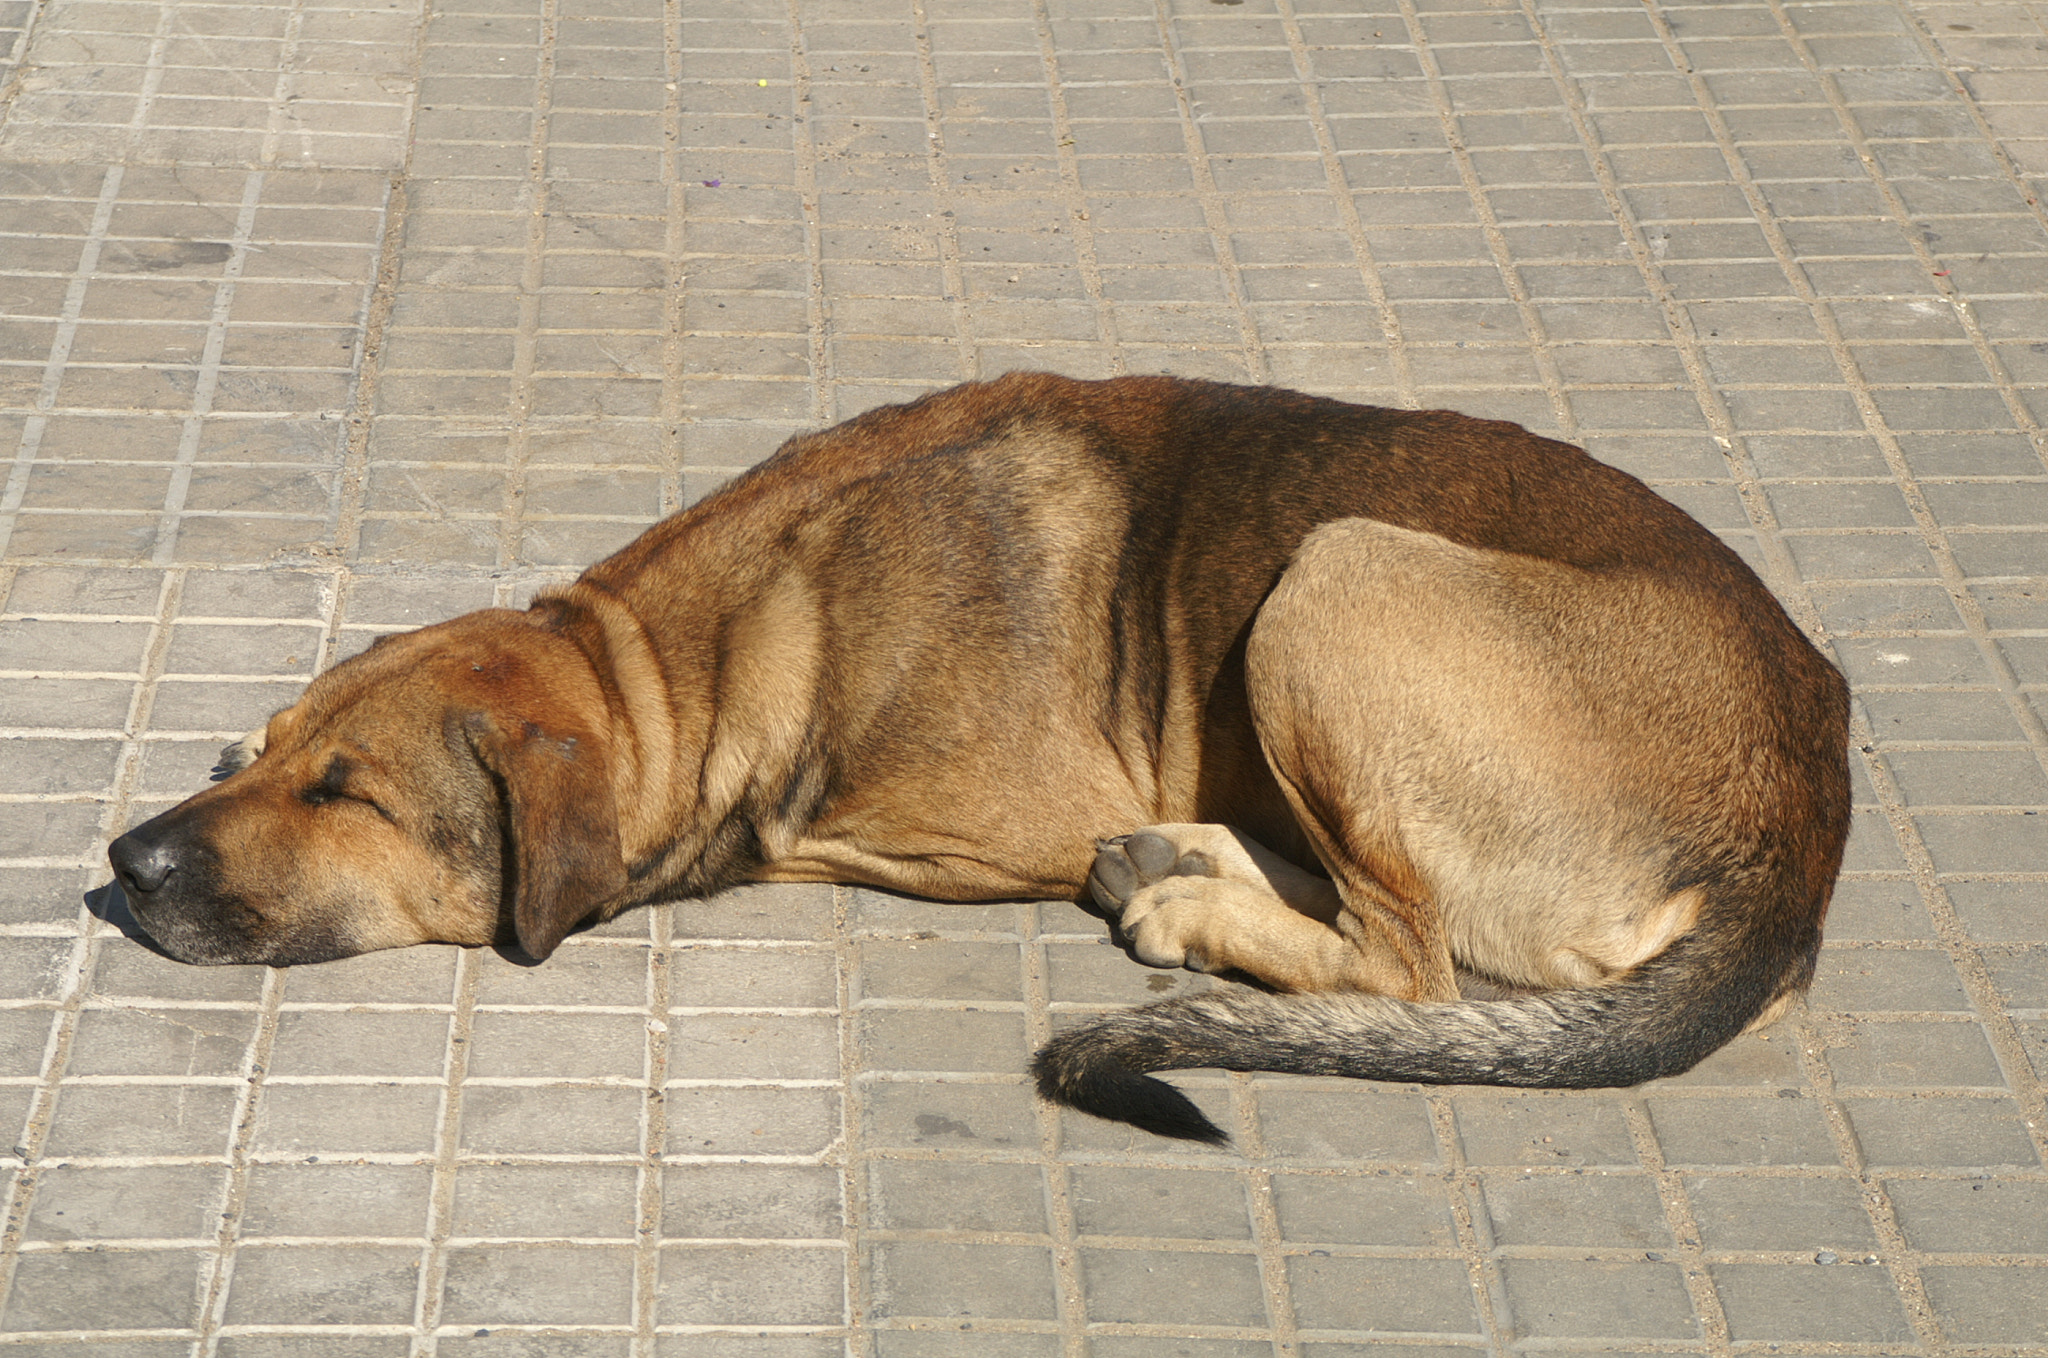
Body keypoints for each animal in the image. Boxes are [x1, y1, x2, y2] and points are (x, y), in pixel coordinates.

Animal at [103, 374, 1851, 1147]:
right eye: (259, 751)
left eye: (348, 794)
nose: (125, 864)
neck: (682, 654)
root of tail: (1799, 831)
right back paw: (1196, 856)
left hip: (1342, 571)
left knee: (1406, 961)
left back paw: (1190, 899)